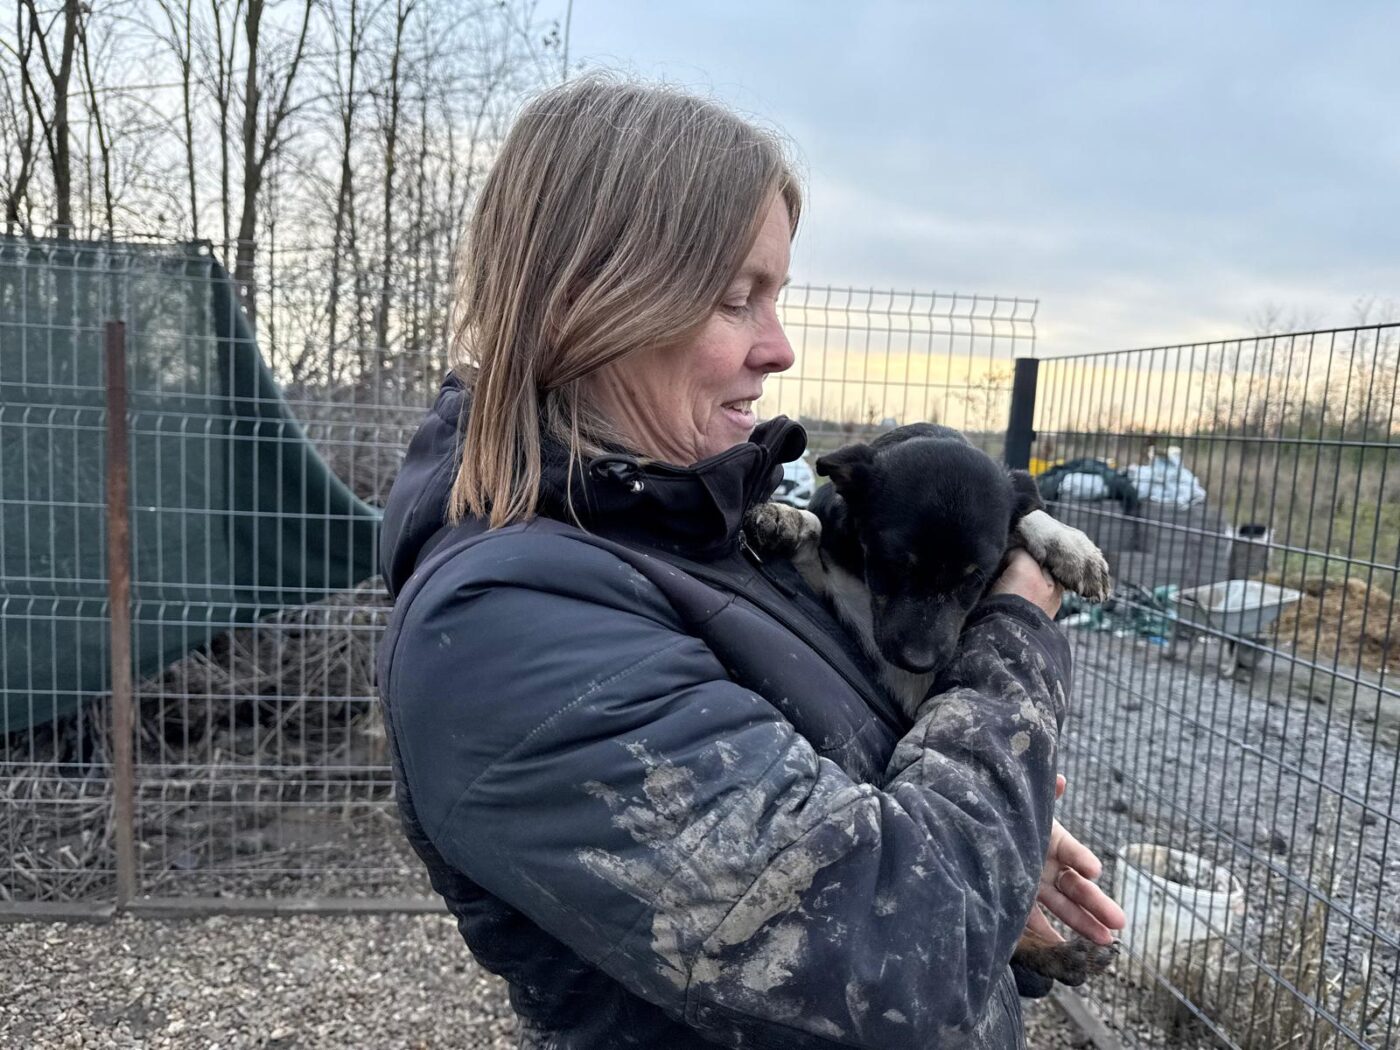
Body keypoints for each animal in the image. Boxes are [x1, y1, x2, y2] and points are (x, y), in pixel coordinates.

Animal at [745, 422, 1117, 987]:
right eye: (892, 564)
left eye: (974, 579)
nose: (920, 662)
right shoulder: (842, 593)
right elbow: (813, 536)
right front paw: (785, 518)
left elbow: (1028, 510)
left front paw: (1072, 548)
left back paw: (1063, 954)